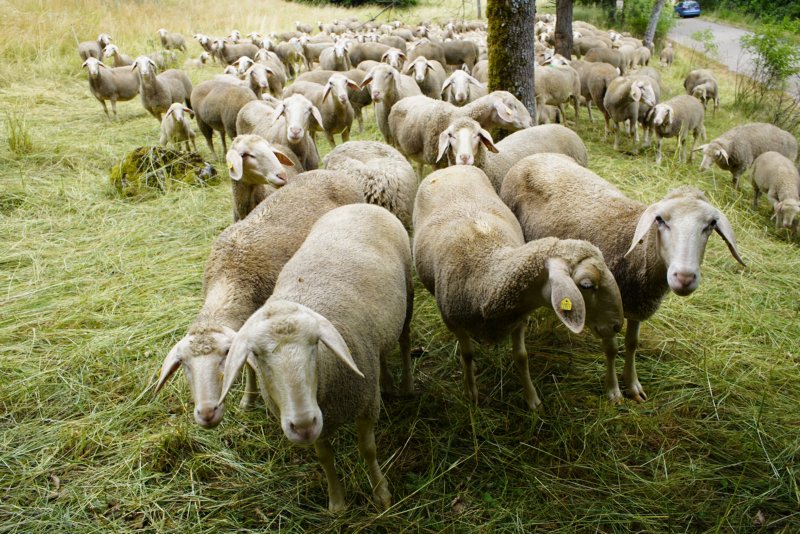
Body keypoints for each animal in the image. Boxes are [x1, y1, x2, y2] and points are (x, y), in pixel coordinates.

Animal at [217, 203, 412, 512]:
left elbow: (368, 450)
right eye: (256, 355)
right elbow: (325, 458)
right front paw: (337, 503)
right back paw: (388, 383)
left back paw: (406, 385)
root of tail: (360, 204)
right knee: (381, 353)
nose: (304, 425)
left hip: (408, 297)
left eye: (314, 345)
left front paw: (381, 494)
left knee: (404, 343)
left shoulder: (366, 404)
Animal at [412, 166, 624, 410]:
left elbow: (521, 356)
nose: (618, 326)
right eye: (587, 285)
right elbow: (467, 354)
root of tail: (451, 167)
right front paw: (472, 395)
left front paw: (533, 401)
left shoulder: (518, 319)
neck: (485, 271)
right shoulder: (453, 321)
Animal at [504, 154, 748, 402]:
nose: (685, 277)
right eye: (660, 220)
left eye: (711, 224)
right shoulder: (606, 307)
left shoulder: (636, 304)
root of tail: (535, 156)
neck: (636, 251)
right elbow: (611, 349)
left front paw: (632, 384)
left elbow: (632, 344)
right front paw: (614, 391)